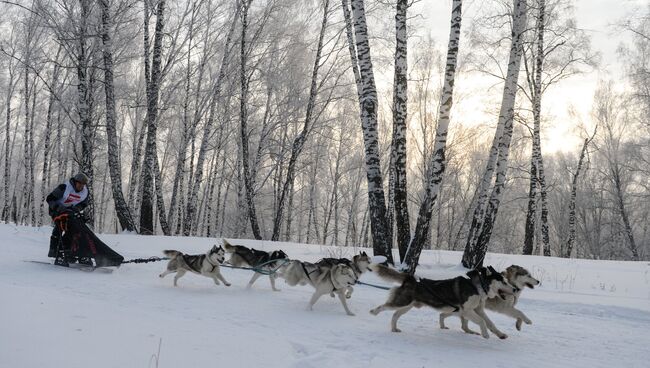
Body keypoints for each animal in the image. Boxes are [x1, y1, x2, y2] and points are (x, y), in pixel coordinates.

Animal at [370, 264, 512, 340]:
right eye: (503, 281)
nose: (515, 289)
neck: (477, 287)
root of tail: (410, 279)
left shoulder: (478, 310)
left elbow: (490, 323)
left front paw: (500, 334)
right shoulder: (467, 311)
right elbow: (482, 322)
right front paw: (485, 334)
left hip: (407, 306)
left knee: (395, 315)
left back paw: (394, 329)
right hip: (402, 303)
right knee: (384, 306)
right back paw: (373, 312)